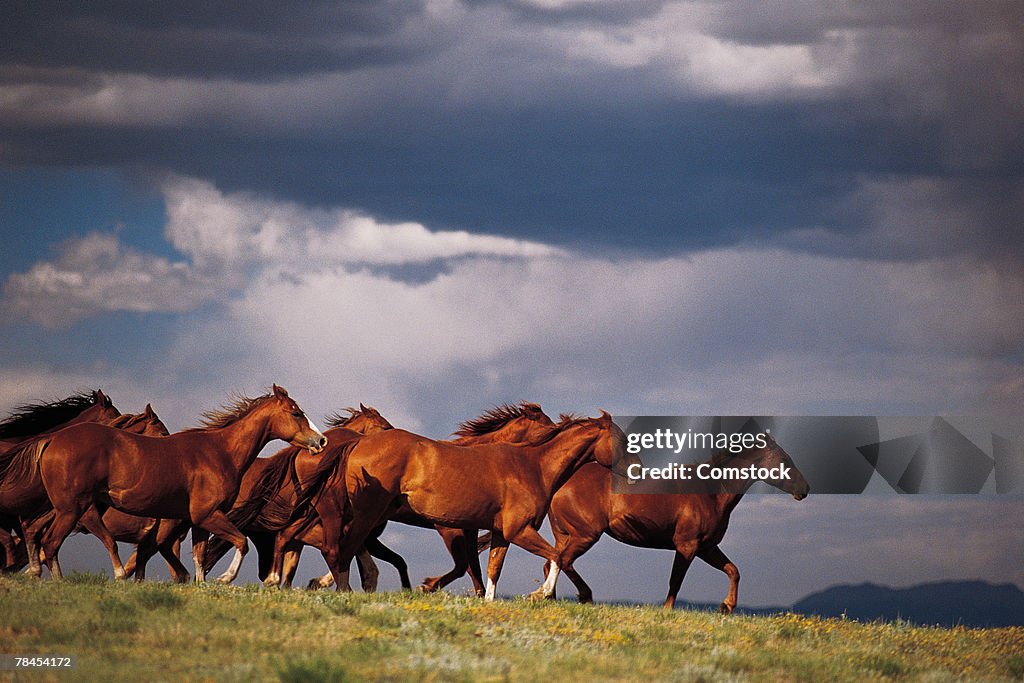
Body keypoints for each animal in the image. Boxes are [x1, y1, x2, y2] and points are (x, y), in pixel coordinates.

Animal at [23, 387, 323, 581]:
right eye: (296, 413)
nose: (320, 441)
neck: (220, 452)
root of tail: (51, 440)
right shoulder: (207, 515)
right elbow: (241, 542)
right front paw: (226, 578)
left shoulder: (198, 521)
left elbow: (199, 559)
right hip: (72, 509)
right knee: (51, 543)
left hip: (64, 509)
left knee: (39, 535)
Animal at [327, 411, 634, 598]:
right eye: (622, 440)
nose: (635, 471)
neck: (532, 467)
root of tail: (357, 444)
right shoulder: (515, 531)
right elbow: (557, 556)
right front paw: (540, 594)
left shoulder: (498, 532)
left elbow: (490, 570)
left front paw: (486, 601)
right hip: (367, 513)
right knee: (346, 547)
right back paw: (343, 589)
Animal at [540, 432, 811, 610]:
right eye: (784, 461)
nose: (805, 489)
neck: (711, 491)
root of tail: (561, 483)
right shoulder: (687, 546)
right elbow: (675, 582)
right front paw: (667, 612)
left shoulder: (706, 547)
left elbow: (733, 570)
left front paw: (726, 607)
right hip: (585, 534)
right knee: (563, 561)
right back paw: (577, 596)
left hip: (567, 535)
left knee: (552, 561)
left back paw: (551, 598)